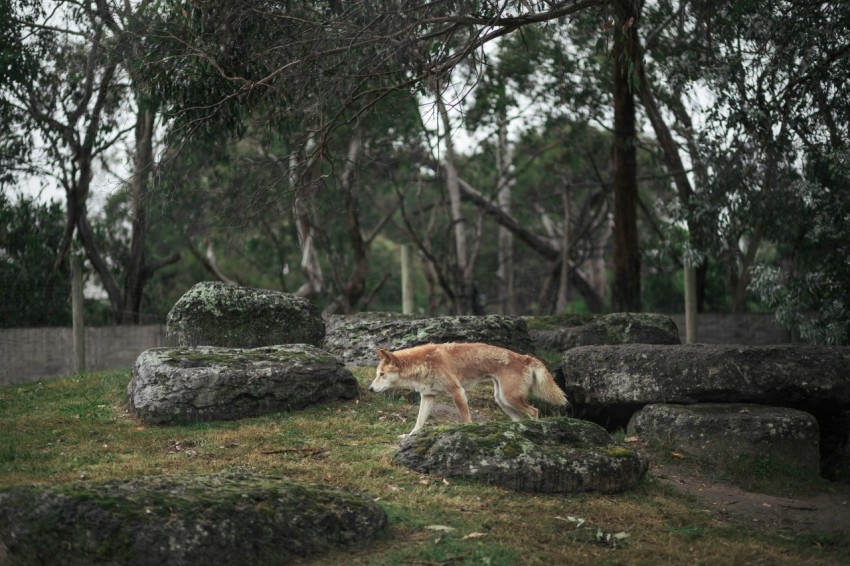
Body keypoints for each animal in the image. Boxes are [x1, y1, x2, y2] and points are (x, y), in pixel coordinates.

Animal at [366, 342, 568, 440]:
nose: (370, 389)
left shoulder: (458, 392)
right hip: (502, 400)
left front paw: (468, 433)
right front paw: (409, 436)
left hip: (509, 398)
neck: (424, 362)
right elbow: (419, 422)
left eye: (381, 374)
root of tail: (526, 357)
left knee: (534, 411)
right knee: (520, 418)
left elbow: (465, 420)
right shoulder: (428, 396)